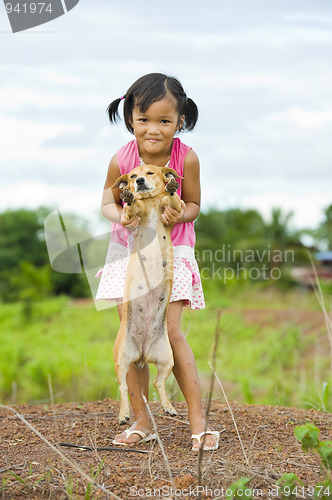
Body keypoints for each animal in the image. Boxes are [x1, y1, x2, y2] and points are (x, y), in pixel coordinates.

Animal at [113, 163, 183, 422]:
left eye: (151, 172)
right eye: (133, 175)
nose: (139, 181)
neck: (151, 203)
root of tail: (142, 355)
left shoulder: (172, 209)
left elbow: (173, 200)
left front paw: (171, 186)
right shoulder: (134, 214)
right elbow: (132, 208)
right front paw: (128, 196)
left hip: (167, 360)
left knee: (157, 383)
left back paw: (169, 407)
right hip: (121, 359)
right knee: (123, 387)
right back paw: (124, 414)